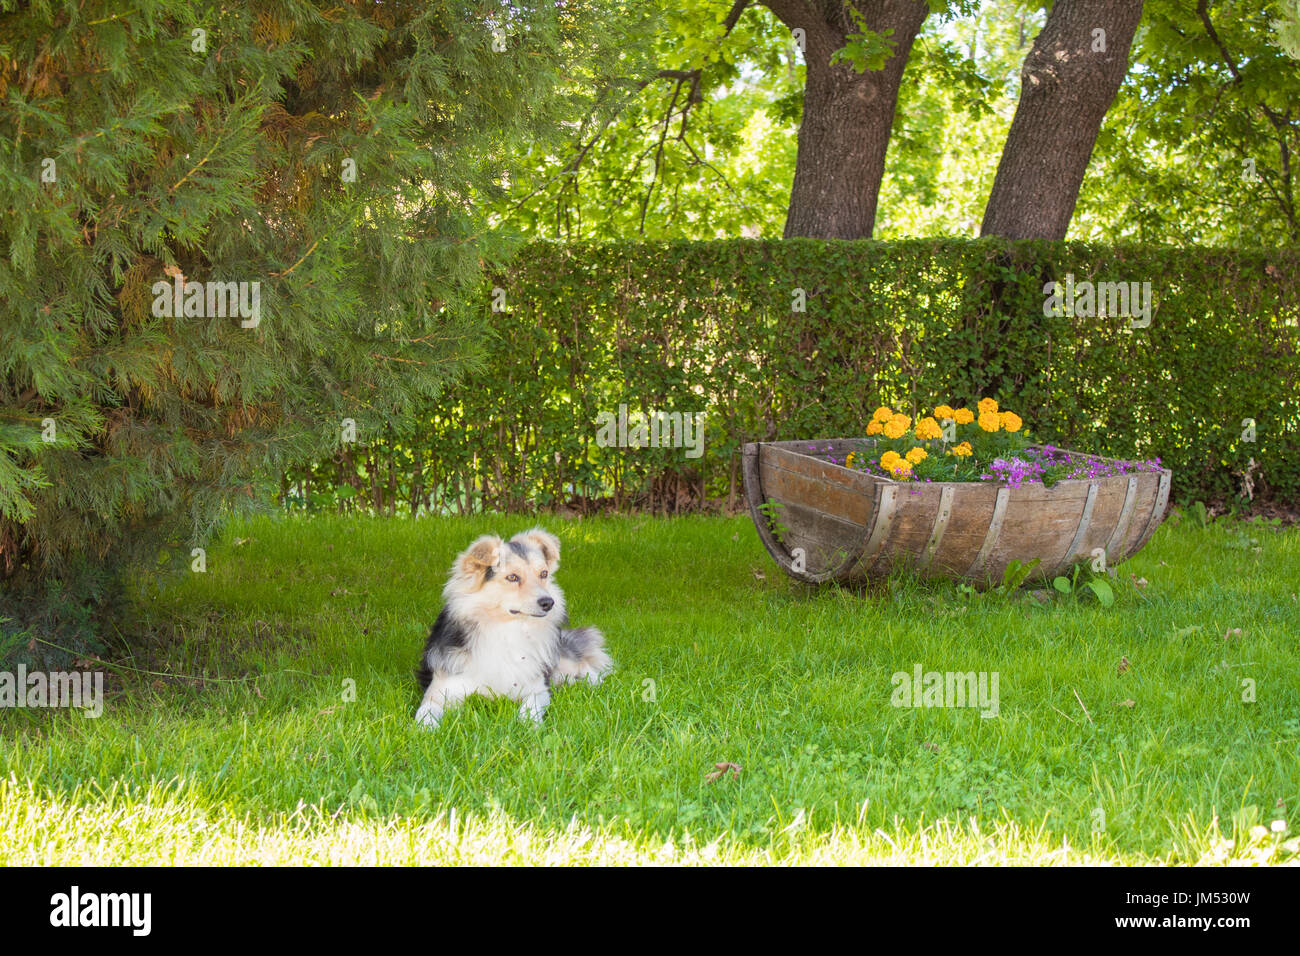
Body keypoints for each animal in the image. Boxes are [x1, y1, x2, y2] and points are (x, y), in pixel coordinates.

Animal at [418, 528, 616, 728]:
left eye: (543, 574)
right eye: (512, 577)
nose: (548, 602)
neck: (508, 630)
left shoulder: (537, 688)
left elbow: (531, 706)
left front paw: (530, 725)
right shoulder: (441, 690)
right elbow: (426, 711)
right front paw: (426, 728)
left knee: (584, 666)